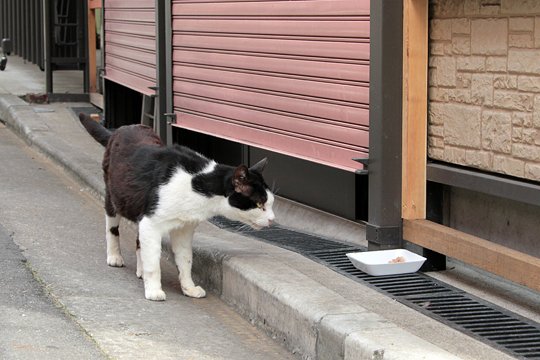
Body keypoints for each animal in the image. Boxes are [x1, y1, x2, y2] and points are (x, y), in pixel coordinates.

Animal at [79, 114, 274, 300]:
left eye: (270, 203)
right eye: (259, 204)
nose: (272, 219)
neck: (197, 185)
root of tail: (121, 129)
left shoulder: (184, 228)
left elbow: (185, 259)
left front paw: (188, 288)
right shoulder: (151, 222)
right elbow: (153, 262)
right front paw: (154, 290)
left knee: (139, 240)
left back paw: (140, 270)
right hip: (114, 197)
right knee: (112, 228)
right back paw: (115, 256)